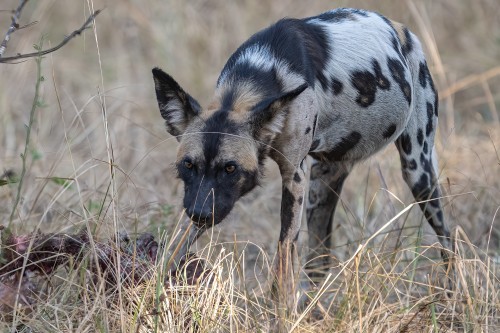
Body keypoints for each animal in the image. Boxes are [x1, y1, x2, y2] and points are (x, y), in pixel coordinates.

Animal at [151, 7, 450, 304]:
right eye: (188, 165)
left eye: (230, 168)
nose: (200, 214)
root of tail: (401, 29)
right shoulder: (205, 198)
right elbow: (176, 246)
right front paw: (151, 294)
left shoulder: (293, 177)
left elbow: (283, 256)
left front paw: (277, 312)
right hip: (321, 187)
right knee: (319, 262)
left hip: (418, 173)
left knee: (448, 241)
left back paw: (449, 293)